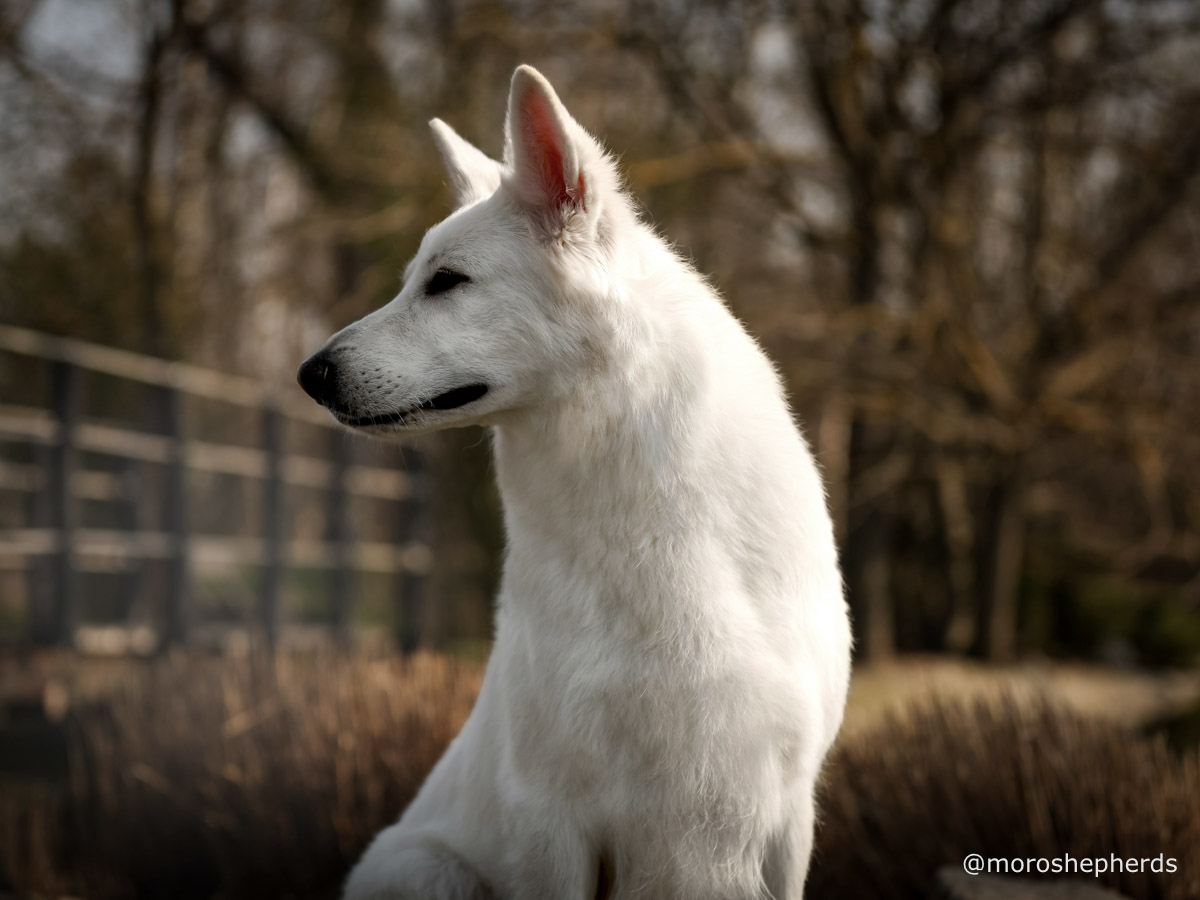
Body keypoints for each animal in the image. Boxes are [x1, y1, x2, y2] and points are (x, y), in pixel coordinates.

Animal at [300, 65, 854, 900]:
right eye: (414, 282)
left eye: (446, 282)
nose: (309, 374)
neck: (648, 535)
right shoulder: (552, 820)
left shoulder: (785, 819)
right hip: (428, 868)